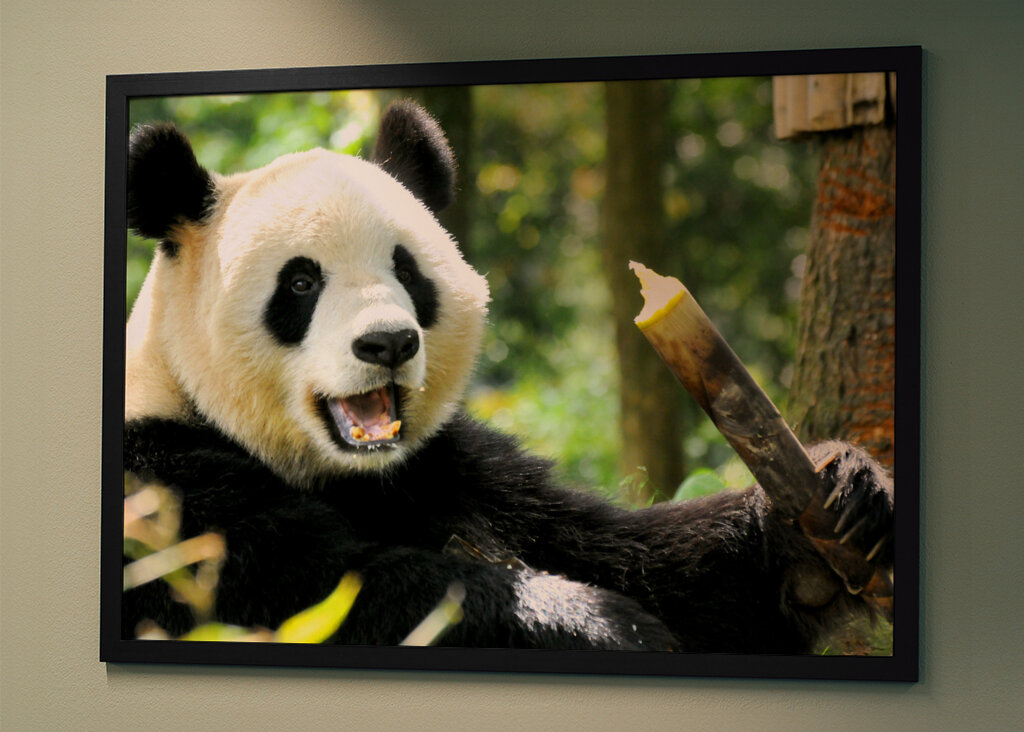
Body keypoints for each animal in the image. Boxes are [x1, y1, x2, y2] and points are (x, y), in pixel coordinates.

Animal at [122, 100, 894, 653]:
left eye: (407, 270)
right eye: (302, 282)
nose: (388, 342)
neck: (352, 474)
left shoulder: (460, 471)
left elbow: (664, 574)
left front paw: (835, 504)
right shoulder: (162, 482)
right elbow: (320, 596)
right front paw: (595, 624)